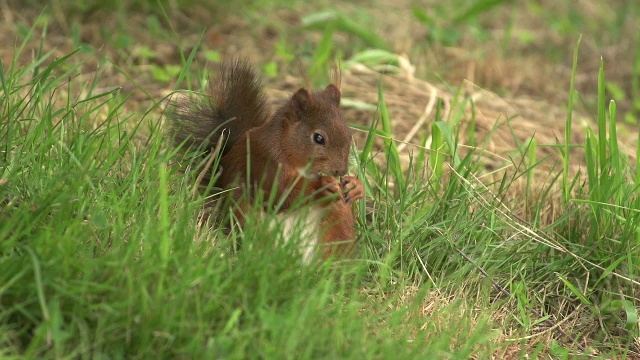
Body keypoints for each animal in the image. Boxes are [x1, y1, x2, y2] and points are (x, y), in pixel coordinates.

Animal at [168, 59, 362, 262]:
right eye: (318, 138)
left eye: (348, 133)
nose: (341, 171)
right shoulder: (264, 161)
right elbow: (279, 193)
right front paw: (323, 185)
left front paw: (355, 186)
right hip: (252, 224)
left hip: (337, 222)